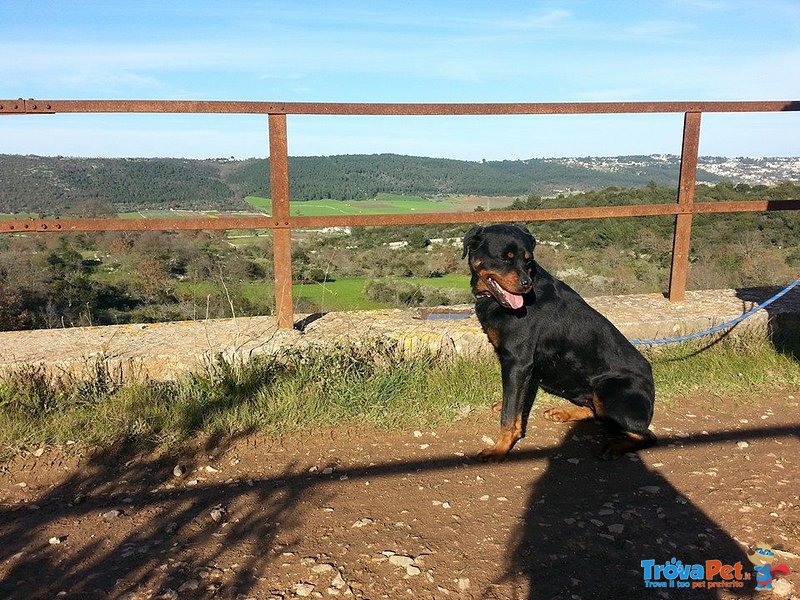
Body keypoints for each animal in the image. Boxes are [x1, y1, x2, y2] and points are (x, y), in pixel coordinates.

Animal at [462, 223, 656, 462]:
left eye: (528, 260)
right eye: (504, 258)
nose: (526, 285)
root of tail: (652, 390)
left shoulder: (518, 361)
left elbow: (509, 416)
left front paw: (500, 448)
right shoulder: (521, 367)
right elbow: (515, 401)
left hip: (609, 390)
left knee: (645, 434)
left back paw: (616, 446)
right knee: (596, 412)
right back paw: (562, 412)